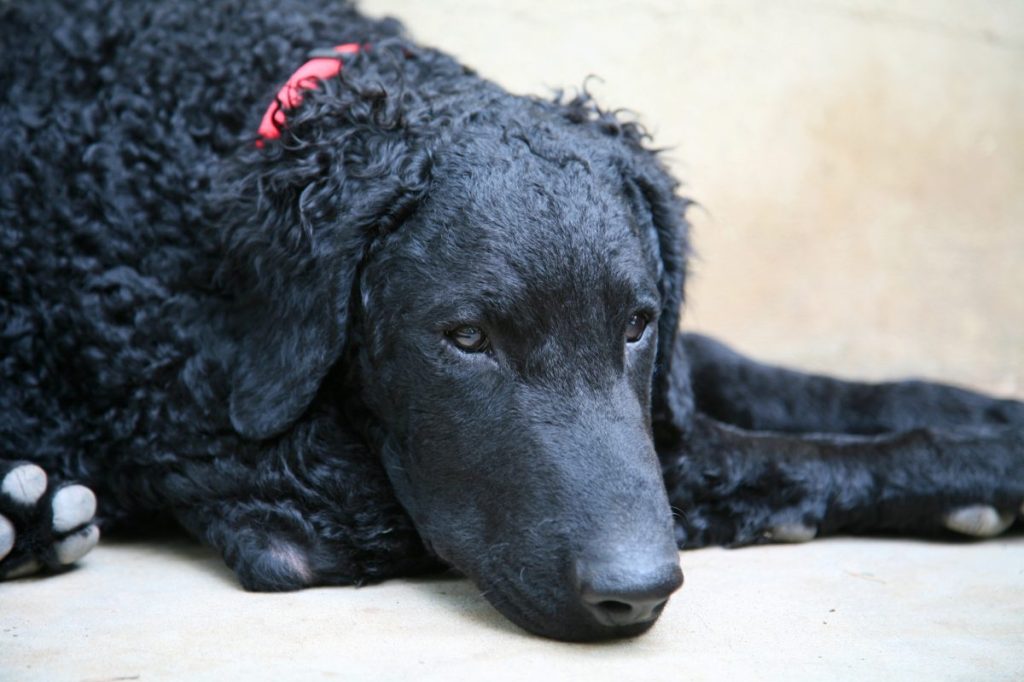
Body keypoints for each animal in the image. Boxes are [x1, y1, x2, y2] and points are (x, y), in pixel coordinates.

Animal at [2, 0, 1024, 638]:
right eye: (467, 340)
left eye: (636, 325)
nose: (635, 596)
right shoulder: (298, 487)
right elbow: (765, 456)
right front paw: (983, 467)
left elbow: (752, 382)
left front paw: (984, 412)